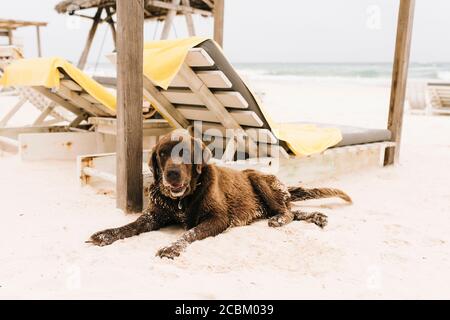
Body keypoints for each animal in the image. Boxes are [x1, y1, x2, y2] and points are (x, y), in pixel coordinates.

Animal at [88, 130, 352, 258]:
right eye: (162, 154)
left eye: (184, 153)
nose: (172, 174)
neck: (183, 200)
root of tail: (285, 186)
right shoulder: (154, 215)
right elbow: (130, 226)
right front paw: (106, 234)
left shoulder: (218, 218)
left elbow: (189, 233)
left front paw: (172, 247)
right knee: (295, 212)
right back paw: (318, 217)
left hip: (258, 179)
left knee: (286, 212)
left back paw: (282, 219)